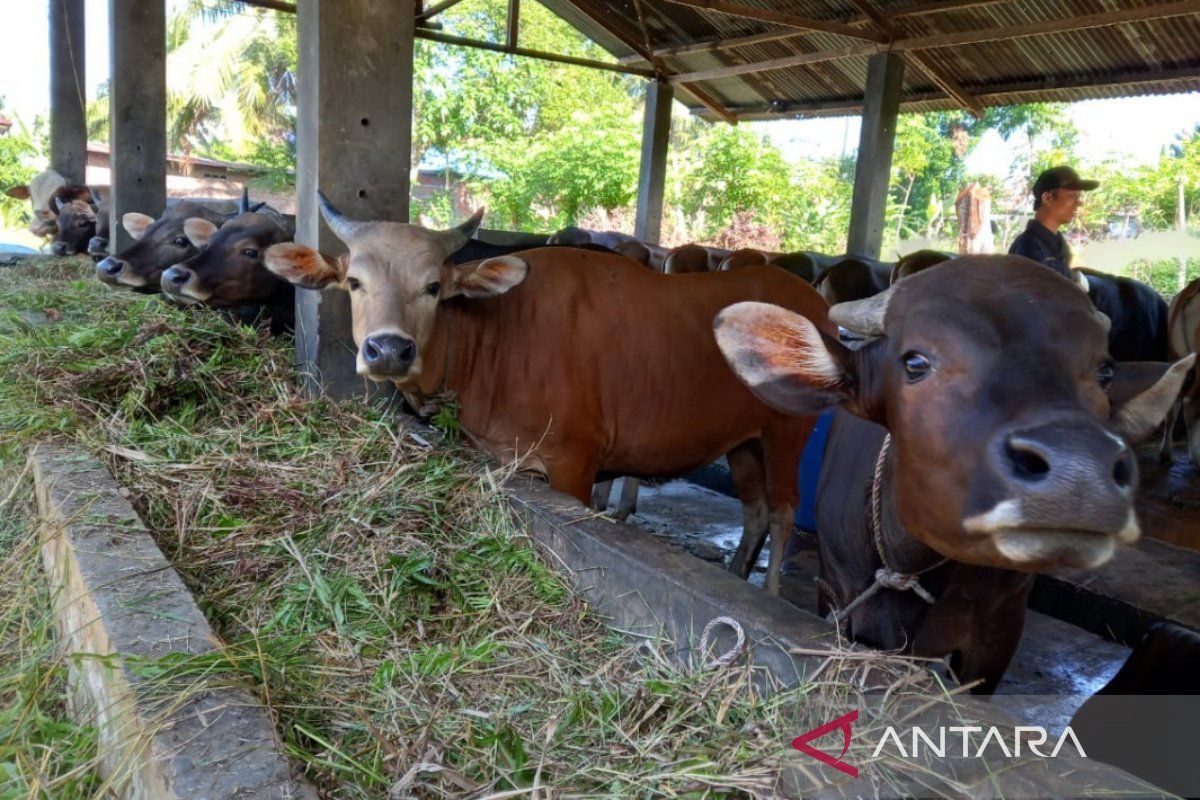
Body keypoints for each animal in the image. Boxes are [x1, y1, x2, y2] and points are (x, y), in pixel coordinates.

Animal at [267, 194, 835, 594]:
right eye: (355, 282)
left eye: (433, 287)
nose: (388, 350)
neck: (495, 340)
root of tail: (810, 300)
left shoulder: (574, 465)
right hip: (744, 441)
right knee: (754, 512)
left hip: (788, 433)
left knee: (783, 513)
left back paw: (770, 592)